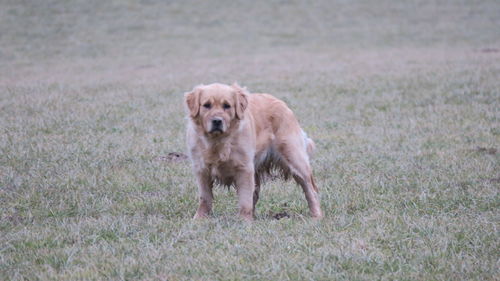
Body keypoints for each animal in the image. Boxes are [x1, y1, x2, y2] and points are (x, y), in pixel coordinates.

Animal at [186, 82, 322, 220]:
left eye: (227, 106)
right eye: (207, 105)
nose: (217, 121)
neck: (218, 141)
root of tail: (283, 104)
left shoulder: (244, 169)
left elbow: (245, 199)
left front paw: (244, 221)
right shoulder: (201, 169)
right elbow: (205, 197)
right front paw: (200, 218)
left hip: (295, 160)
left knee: (311, 190)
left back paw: (317, 215)